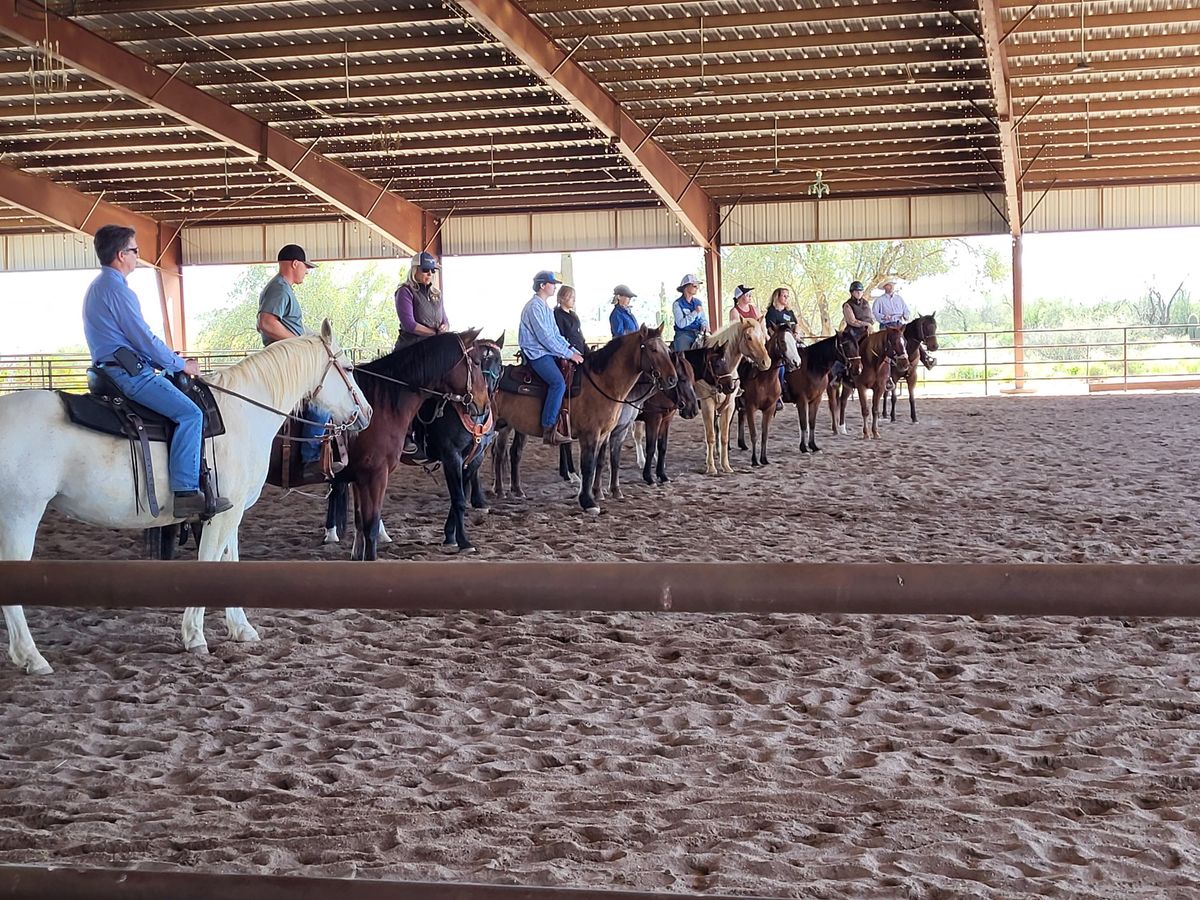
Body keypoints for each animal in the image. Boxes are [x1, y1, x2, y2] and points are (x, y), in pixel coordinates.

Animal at [0, 324, 369, 676]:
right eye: (349, 368)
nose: (365, 413)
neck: (242, 413)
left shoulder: (231, 512)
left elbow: (230, 564)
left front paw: (241, 629)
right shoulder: (221, 515)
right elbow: (209, 563)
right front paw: (194, 636)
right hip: (20, 515)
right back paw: (32, 656)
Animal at [338, 328, 487, 561]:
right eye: (479, 362)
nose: (483, 404)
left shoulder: (472, 459)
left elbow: (459, 497)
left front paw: (452, 537)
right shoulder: (451, 457)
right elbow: (459, 500)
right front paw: (464, 542)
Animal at [487, 328, 676, 518]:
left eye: (667, 350)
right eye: (652, 349)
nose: (672, 379)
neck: (602, 383)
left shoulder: (604, 435)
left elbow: (598, 463)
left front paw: (593, 494)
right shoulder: (590, 434)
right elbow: (588, 466)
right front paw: (588, 502)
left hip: (505, 426)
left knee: (502, 453)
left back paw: (505, 491)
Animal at [734, 328, 801, 468]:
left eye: (794, 340)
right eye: (782, 341)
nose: (796, 362)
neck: (764, 379)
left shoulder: (769, 409)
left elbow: (765, 434)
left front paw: (764, 459)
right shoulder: (751, 408)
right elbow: (754, 434)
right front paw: (754, 460)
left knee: (740, 417)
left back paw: (742, 444)